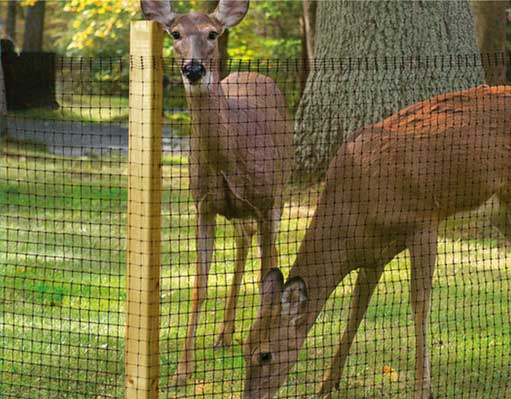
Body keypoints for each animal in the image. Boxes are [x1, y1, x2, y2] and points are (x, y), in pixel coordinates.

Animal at [140, 0, 294, 388]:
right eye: (175, 33)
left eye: (213, 34)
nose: (194, 68)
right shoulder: (203, 205)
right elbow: (199, 284)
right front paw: (181, 371)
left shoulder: (265, 200)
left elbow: (267, 274)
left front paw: (261, 351)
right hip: (238, 210)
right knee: (243, 237)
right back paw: (224, 334)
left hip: (281, 189)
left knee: (266, 247)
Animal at [243, 85, 511, 399]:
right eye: (244, 347)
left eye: (265, 355)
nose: (248, 396)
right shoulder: (372, 255)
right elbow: (356, 310)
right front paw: (326, 384)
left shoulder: (423, 219)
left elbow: (419, 304)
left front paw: (422, 388)